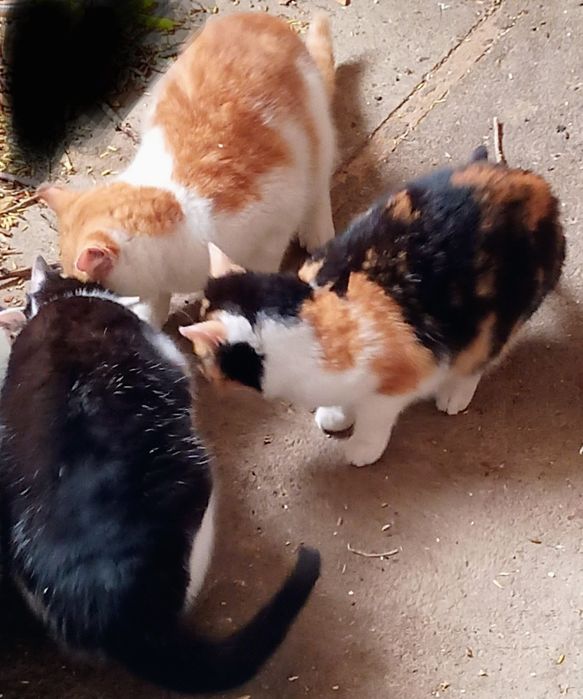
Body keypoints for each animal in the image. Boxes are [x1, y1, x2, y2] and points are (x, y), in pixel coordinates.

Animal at [36, 12, 336, 329]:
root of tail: (259, 16)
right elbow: (154, 304)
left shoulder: (272, 228)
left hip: (318, 128)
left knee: (319, 181)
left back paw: (317, 231)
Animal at [178, 147, 565, 467]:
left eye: (201, 356)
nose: (203, 376)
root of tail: (529, 182)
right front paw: (336, 415)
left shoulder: (396, 385)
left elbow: (374, 418)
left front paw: (362, 447)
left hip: (499, 315)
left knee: (482, 354)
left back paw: (454, 393)